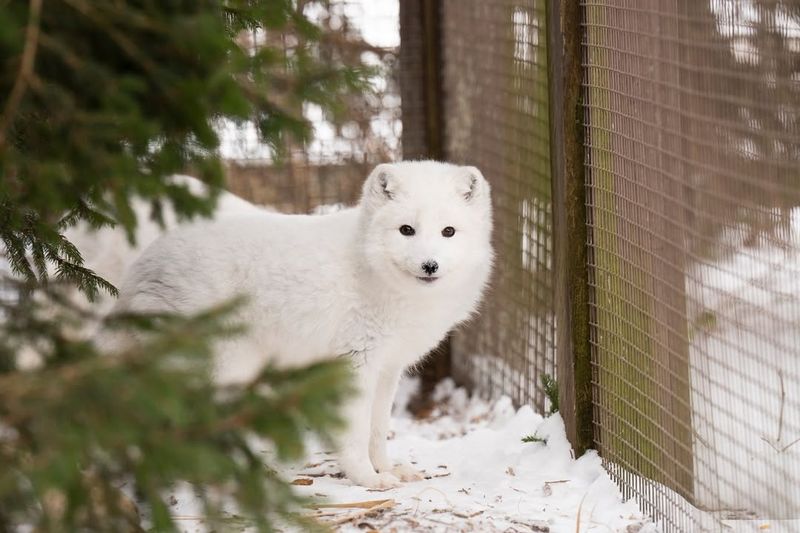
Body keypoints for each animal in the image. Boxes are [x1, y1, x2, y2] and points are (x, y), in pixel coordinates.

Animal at [109, 160, 490, 488]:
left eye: (448, 232)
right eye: (406, 230)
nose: (430, 265)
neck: (370, 268)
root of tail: (140, 268)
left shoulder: (387, 369)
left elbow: (378, 429)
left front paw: (387, 469)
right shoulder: (356, 364)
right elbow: (356, 432)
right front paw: (367, 478)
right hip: (220, 369)